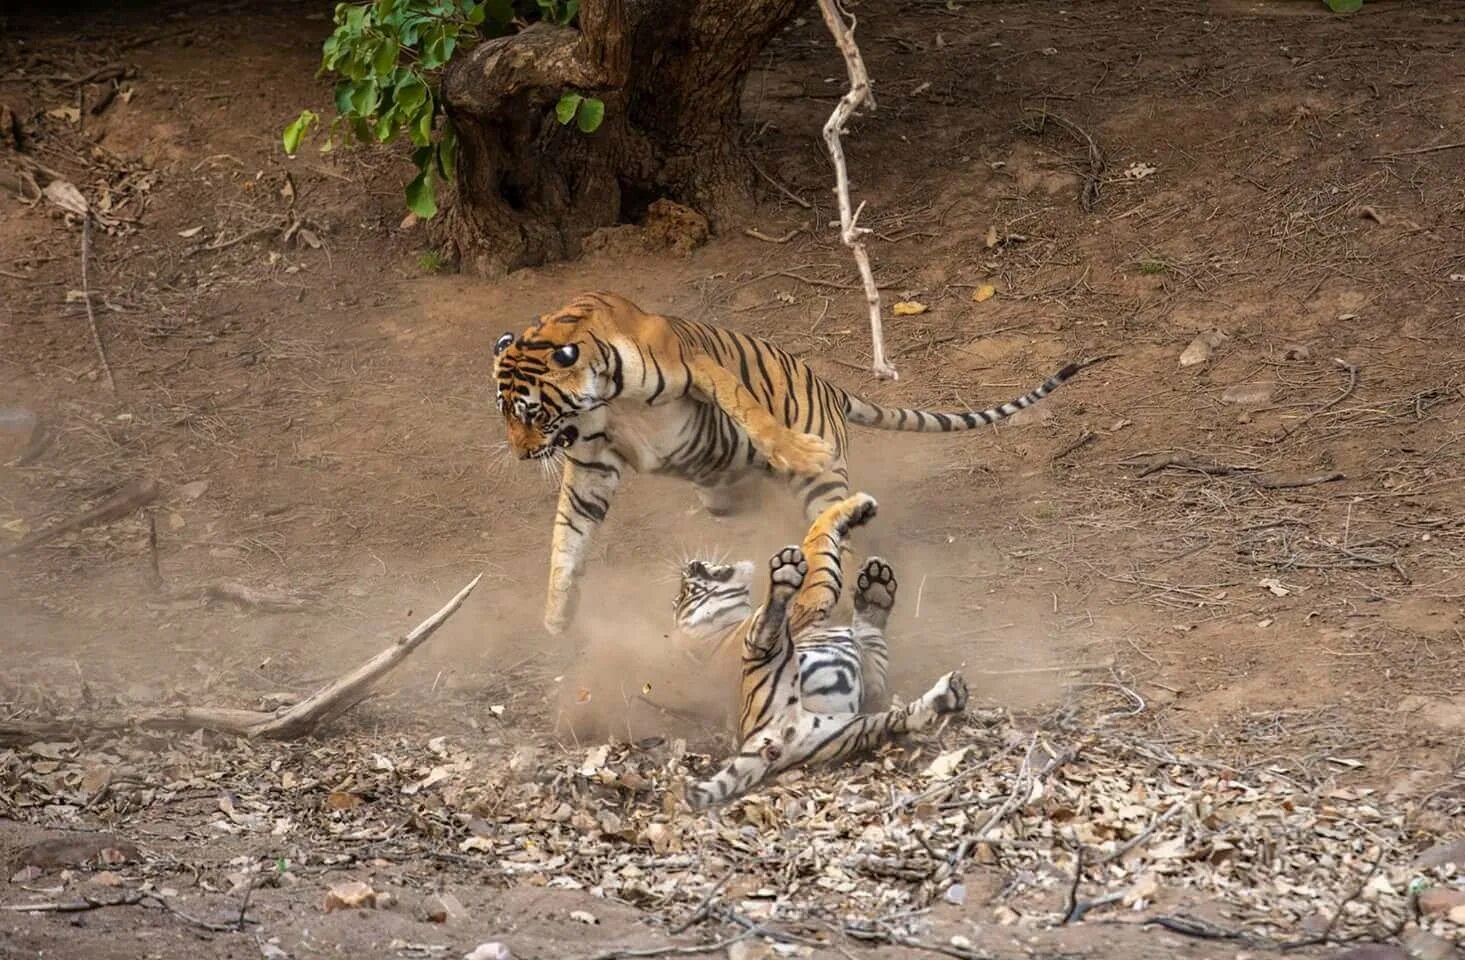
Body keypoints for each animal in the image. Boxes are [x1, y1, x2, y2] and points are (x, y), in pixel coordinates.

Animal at [492, 293, 1101, 639]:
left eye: (531, 412)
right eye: (504, 413)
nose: (521, 455)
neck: (599, 398)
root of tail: (833, 387)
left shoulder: (696, 366)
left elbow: (748, 408)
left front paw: (792, 446)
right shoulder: (592, 461)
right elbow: (568, 540)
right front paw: (557, 617)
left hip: (821, 486)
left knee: (837, 532)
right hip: (723, 494)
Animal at [676, 492, 972, 814]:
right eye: (686, 592)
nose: (691, 566)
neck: (716, 634)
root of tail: (761, 741)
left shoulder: (869, 676)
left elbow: (871, 635)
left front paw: (876, 589)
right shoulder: (811, 598)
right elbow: (819, 537)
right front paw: (856, 507)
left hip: (853, 727)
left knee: (906, 718)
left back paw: (949, 694)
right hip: (769, 654)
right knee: (767, 624)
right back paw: (784, 573)